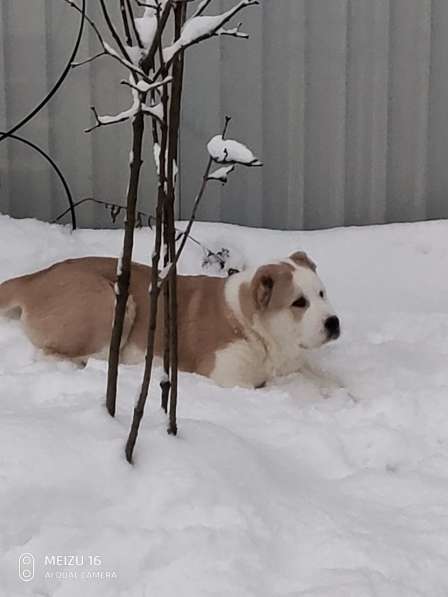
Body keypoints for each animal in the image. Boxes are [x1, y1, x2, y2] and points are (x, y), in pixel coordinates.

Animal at [0, 250, 340, 386]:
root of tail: (34, 278)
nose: (333, 322)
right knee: (52, 354)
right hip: (110, 303)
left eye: (322, 293)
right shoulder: (228, 378)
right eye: (299, 303)